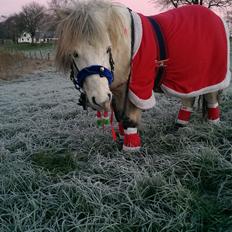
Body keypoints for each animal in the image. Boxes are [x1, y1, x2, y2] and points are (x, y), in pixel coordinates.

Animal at [55, 0, 231, 151]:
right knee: (189, 98)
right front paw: (122, 138)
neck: (125, 44)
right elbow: (120, 116)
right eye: (74, 54)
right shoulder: (117, 89)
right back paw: (180, 125)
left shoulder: (138, 86)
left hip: (213, 75)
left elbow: (130, 117)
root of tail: (216, 17)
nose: (100, 100)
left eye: (107, 49)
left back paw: (212, 124)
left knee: (211, 98)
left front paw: (130, 148)